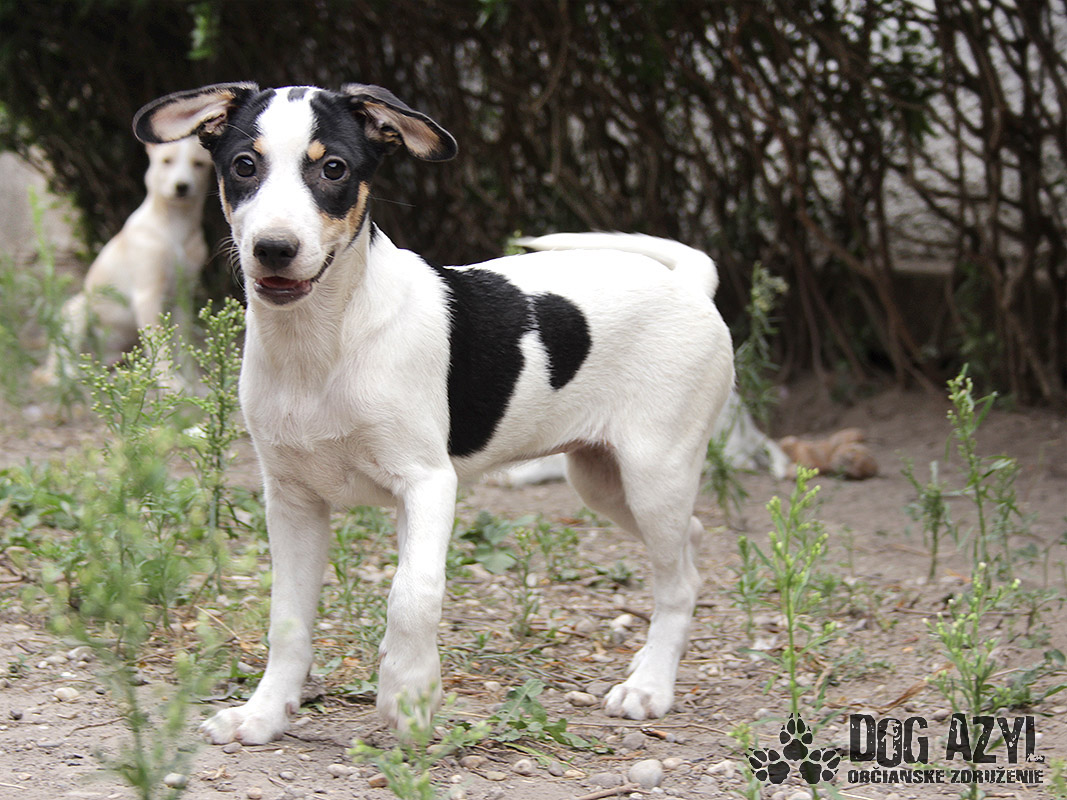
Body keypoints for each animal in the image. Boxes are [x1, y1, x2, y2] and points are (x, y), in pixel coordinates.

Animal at [33, 137, 211, 384]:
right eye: (167, 161)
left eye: (198, 164)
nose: (182, 187)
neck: (176, 225)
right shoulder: (147, 296)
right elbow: (160, 344)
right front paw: (170, 382)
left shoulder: (183, 297)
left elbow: (181, 341)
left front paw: (191, 378)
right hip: (77, 307)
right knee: (62, 358)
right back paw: (66, 375)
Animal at [133, 82, 734, 745]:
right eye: (244, 165)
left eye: (333, 168)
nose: (274, 249)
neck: (323, 344)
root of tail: (689, 285)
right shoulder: (292, 501)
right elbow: (287, 621)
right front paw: (264, 713)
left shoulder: (427, 483)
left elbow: (412, 593)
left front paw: (409, 693)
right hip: (604, 482)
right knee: (688, 549)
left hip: (654, 474)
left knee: (678, 582)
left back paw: (650, 686)